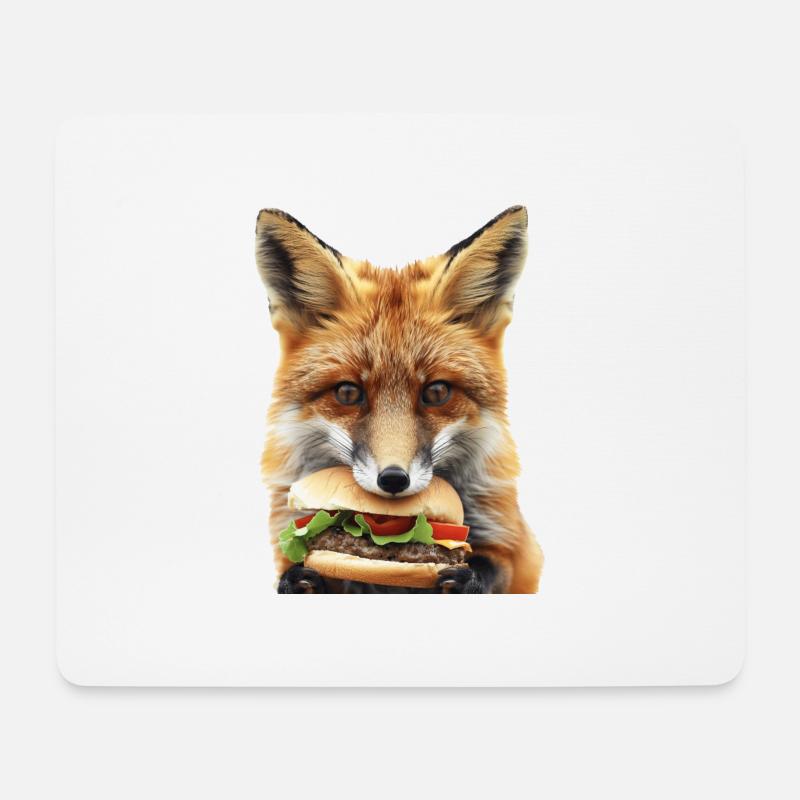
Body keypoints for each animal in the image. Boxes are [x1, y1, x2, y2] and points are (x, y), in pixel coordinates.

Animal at [255, 206, 544, 593]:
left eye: (436, 392)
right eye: (348, 392)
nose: (393, 480)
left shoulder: (516, 548)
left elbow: (496, 569)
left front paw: (465, 578)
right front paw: (300, 580)